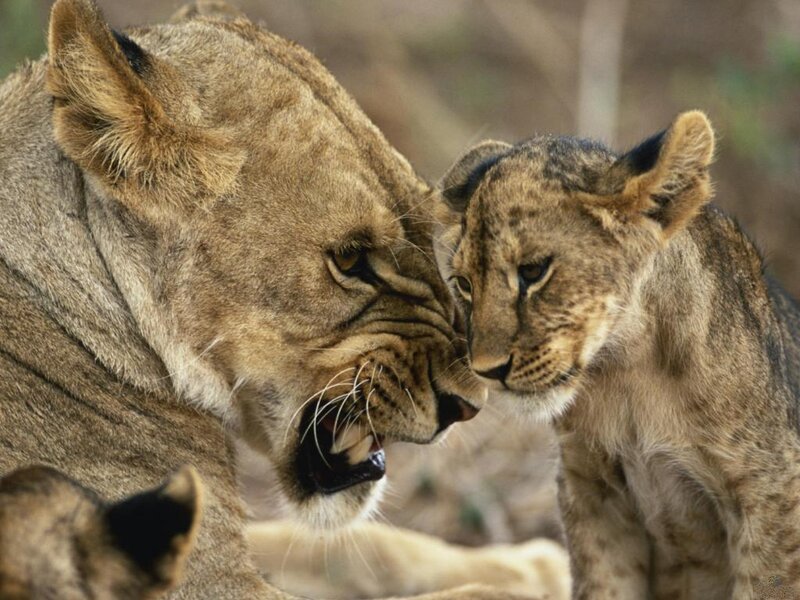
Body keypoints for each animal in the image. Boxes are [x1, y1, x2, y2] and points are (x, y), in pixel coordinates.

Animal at [435, 110, 800, 598]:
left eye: (533, 271)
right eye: (464, 285)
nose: (487, 371)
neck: (628, 370)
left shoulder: (770, 491)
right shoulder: (592, 492)